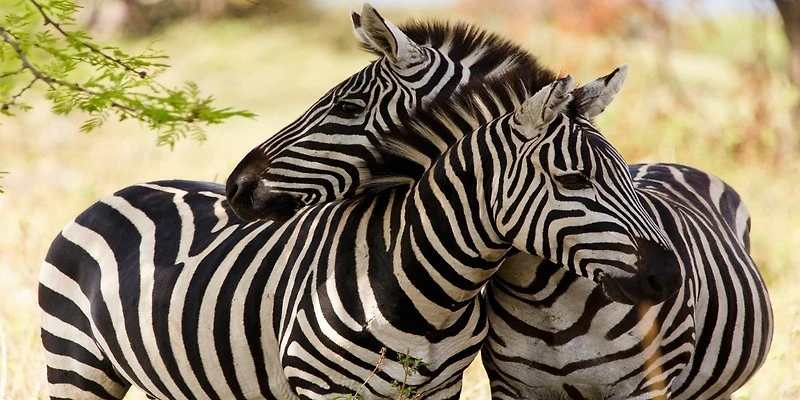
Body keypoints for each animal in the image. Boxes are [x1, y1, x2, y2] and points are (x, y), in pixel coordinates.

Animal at [39, 72, 681, 399]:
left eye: (629, 176)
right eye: (573, 180)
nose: (667, 275)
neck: (429, 295)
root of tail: (124, 189)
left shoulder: (436, 393)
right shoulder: (321, 392)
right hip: (75, 367)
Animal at [223, 6, 773, 400]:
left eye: (348, 106)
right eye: (576, 177)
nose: (235, 186)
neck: (547, 296)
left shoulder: (645, 389)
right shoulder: (513, 386)